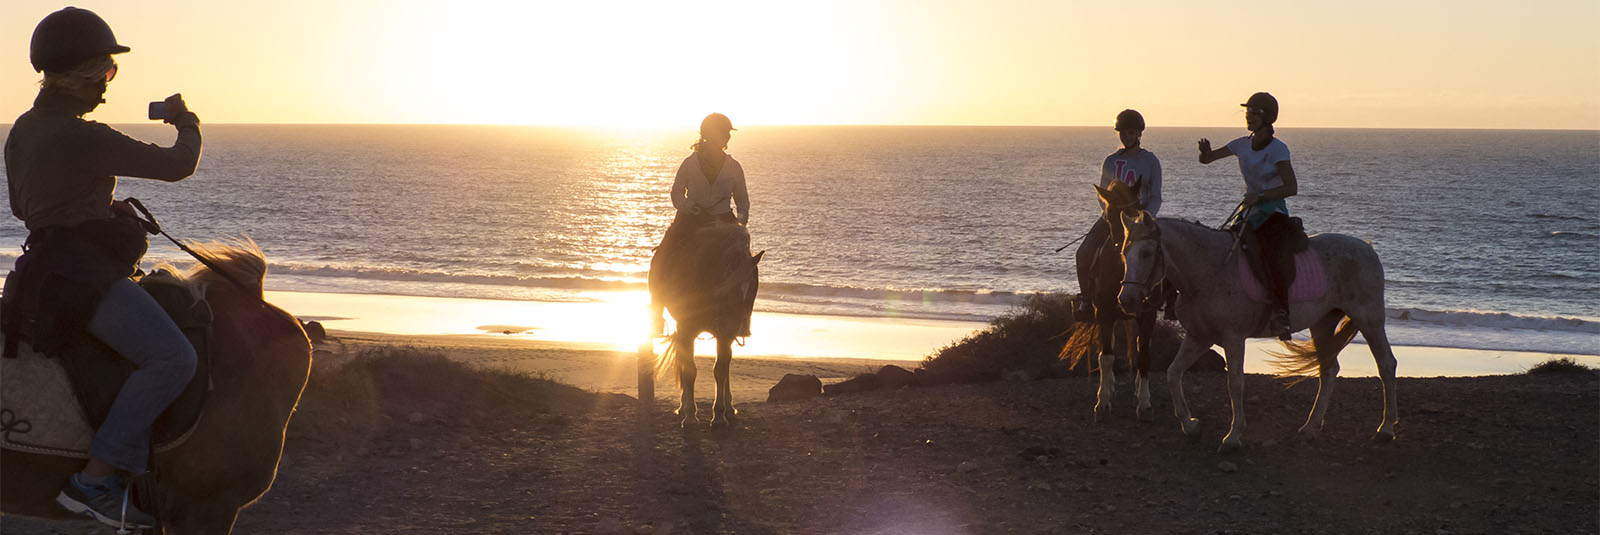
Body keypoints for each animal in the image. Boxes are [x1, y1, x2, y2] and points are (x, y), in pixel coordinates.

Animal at [646, 219, 758, 429]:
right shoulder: (687, 329)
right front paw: (690, 415)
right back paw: (683, 407)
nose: (739, 328)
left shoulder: (724, 335)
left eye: (753, 287)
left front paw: (720, 415)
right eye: (732, 290)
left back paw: (729, 409)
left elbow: (721, 370)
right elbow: (690, 370)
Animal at [1062, 181, 1164, 422]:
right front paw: (1102, 403)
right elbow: (1106, 357)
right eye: (1109, 215)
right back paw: (1108, 387)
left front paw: (1145, 404)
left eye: (1136, 208)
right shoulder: (1105, 313)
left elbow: (1144, 356)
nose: (1123, 247)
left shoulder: (1147, 315)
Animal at [1113, 211, 1401, 454]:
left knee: (1386, 364)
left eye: (1147, 252)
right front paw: (1190, 425)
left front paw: (1233, 437)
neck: (1210, 270)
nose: (1126, 300)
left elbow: (1235, 383)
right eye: (1124, 252)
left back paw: (1385, 429)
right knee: (1329, 370)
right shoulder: (1199, 337)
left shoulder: (1233, 338)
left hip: (1370, 319)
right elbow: (1173, 373)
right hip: (1321, 323)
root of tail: (1366, 247)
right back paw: (1310, 427)